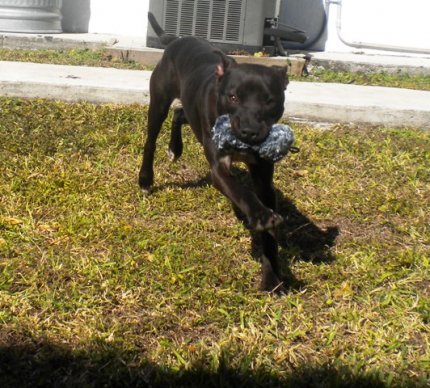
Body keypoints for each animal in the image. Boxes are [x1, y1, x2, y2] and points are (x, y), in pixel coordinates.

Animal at [140, 12, 288, 294]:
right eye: (233, 97)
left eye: (269, 100)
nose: (250, 132)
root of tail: (178, 40)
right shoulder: (219, 169)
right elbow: (240, 191)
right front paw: (261, 215)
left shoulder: (264, 180)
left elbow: (269, 232)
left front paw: (271, 275)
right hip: (159, 101)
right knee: (151, 139)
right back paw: (145, 178)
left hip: (190, 108)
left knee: (180, 114)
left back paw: (175, 148)